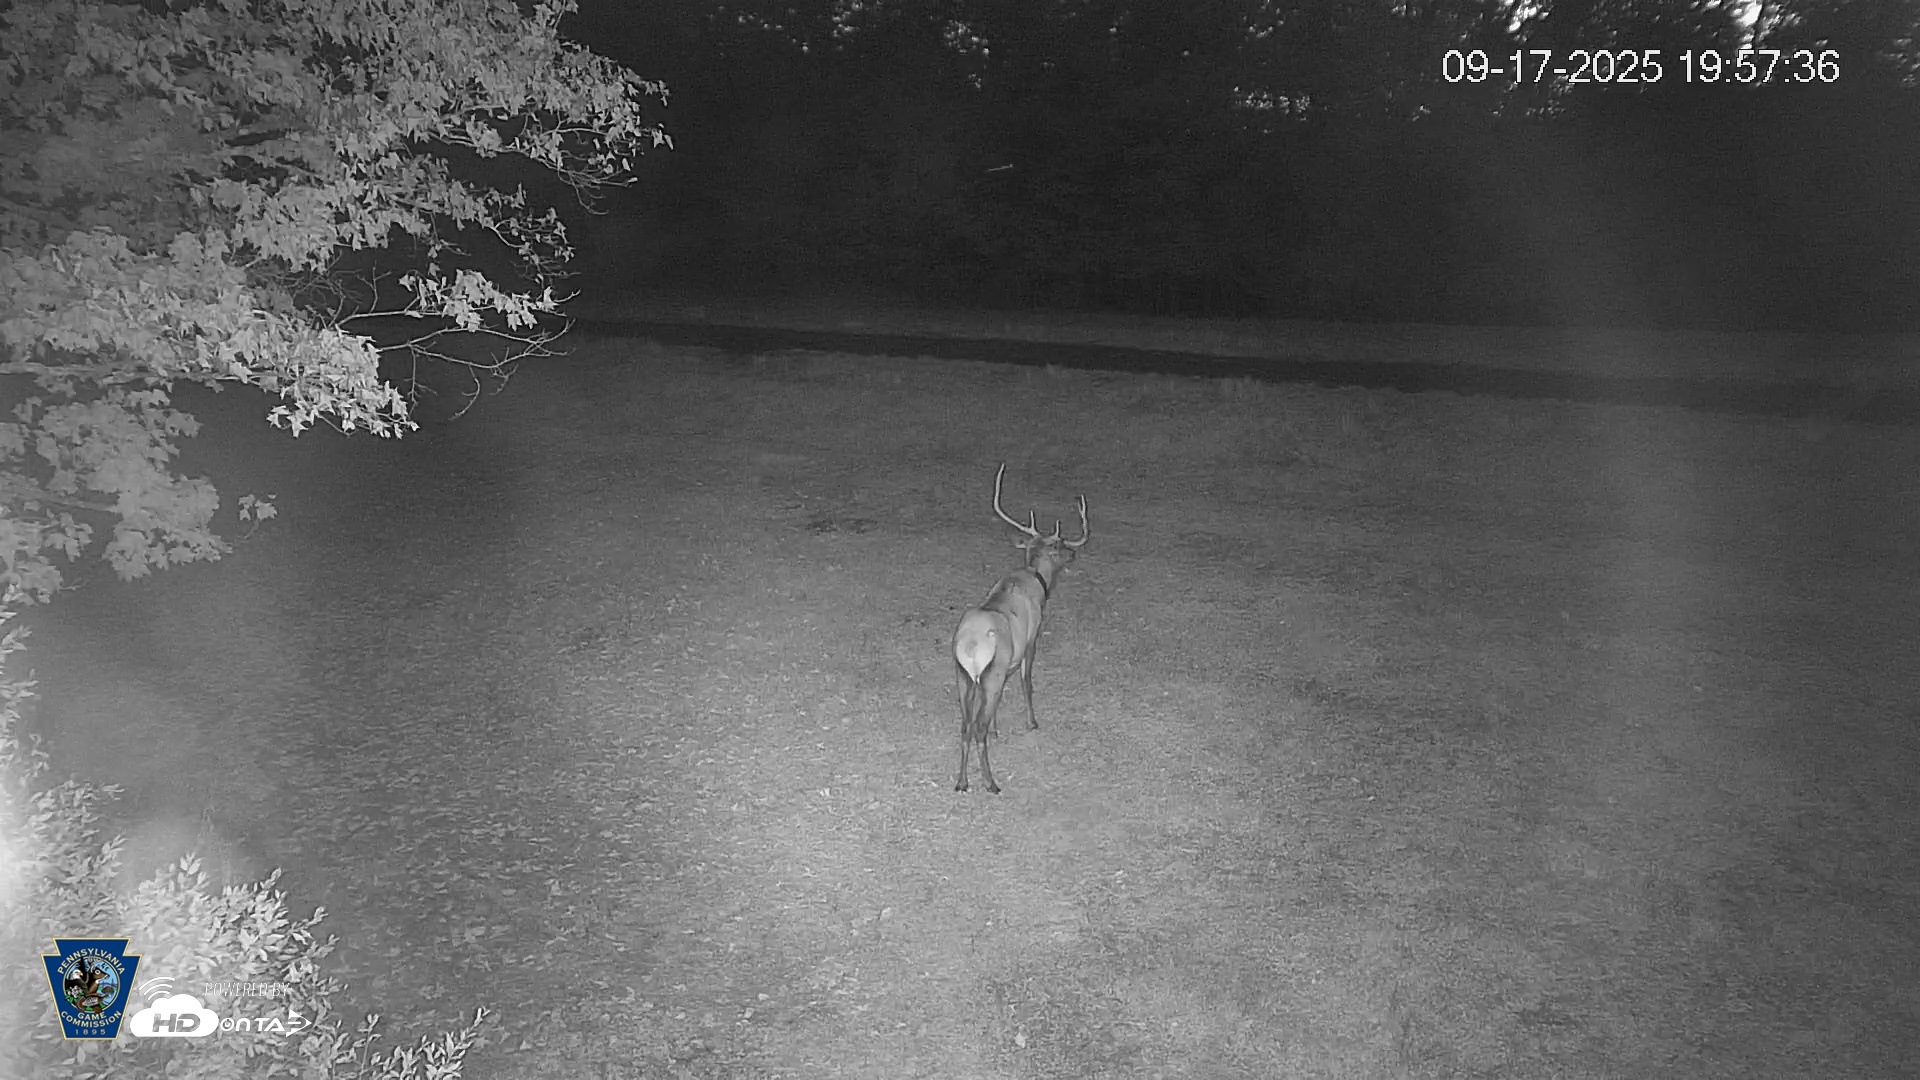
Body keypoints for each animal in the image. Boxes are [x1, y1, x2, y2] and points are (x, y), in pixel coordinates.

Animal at [952, 463, 1089, 794]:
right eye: (1060, 546)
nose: (1075, 554)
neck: (1038, 581)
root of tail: (971, 648)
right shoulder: (1031, 640)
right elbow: (1027, 682)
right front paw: (1032, 722)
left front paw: (999, 728)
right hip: (989, 673)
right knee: (976, 728)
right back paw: (991, 782)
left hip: (964, 678)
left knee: (965, 727)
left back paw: (962, 782)